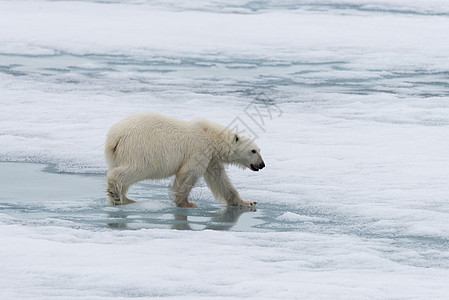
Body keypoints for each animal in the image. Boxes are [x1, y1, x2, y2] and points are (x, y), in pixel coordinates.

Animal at [104, 113, 266, 207]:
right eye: (253, 151)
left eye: (260, 150)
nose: (262, 164)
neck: (213, 137)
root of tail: (115, 136)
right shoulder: (199, 149)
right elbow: (188, 174)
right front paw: (187, 203)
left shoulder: (212, 158)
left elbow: (220, 179)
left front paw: (247, 202)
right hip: (142, 148)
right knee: (137, 168)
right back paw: (116, 193)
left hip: (117, 154)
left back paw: (124, 198)